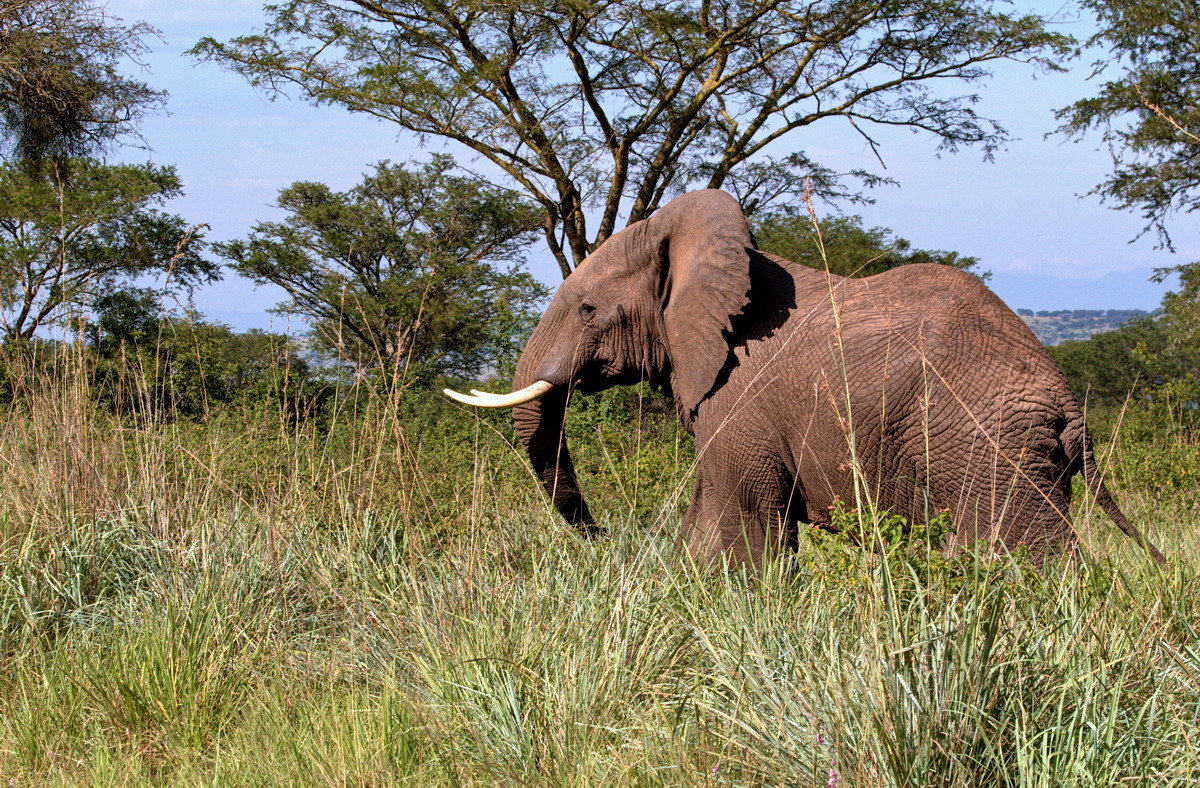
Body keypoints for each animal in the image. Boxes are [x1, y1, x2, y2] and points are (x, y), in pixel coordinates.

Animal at [444, 187, 1161, 561]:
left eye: (589, 309)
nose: (606, 534)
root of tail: (1068, 405)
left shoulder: (738, 399)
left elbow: (740, 528)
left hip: (987, 443)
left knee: (1013, 550)